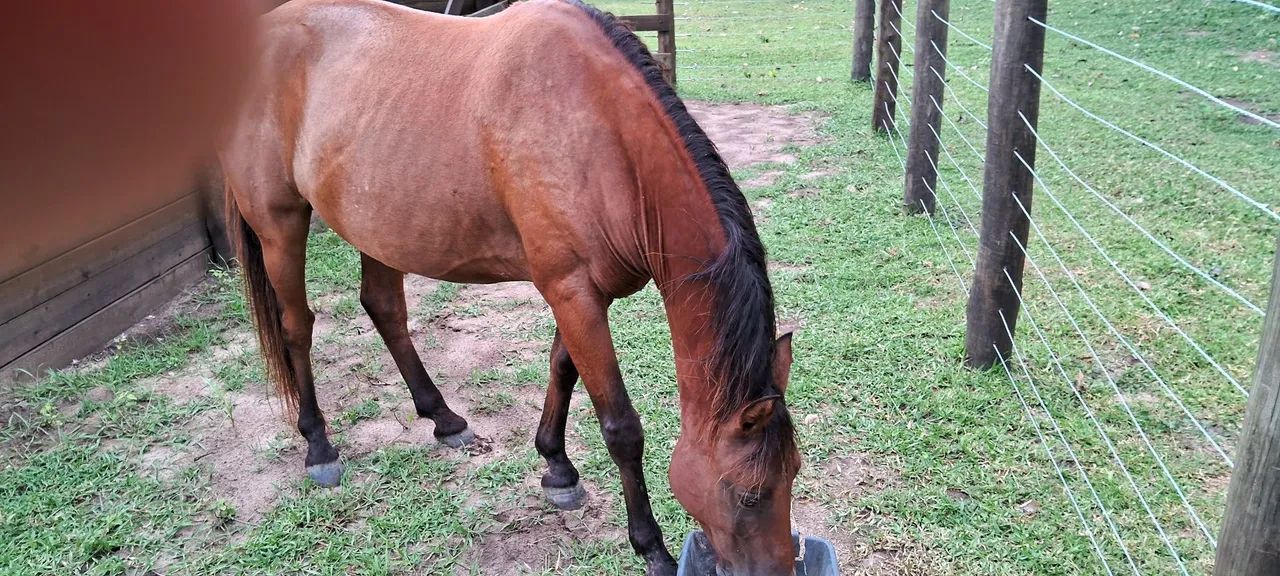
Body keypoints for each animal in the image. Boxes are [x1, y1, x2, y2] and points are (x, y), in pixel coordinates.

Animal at [220, 0, 801, 573]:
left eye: (794, 472)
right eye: (749, 495)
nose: (782, 570)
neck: (603, 138)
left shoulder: (580, 293)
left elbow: (562, 369)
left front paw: (557, 468)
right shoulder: (572, 291)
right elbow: (620, 427)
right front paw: (651, 547)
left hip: (378, 226)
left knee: (384, 309)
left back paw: (443, 418)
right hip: (280, 225)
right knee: (297, 328)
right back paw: (319, 447)